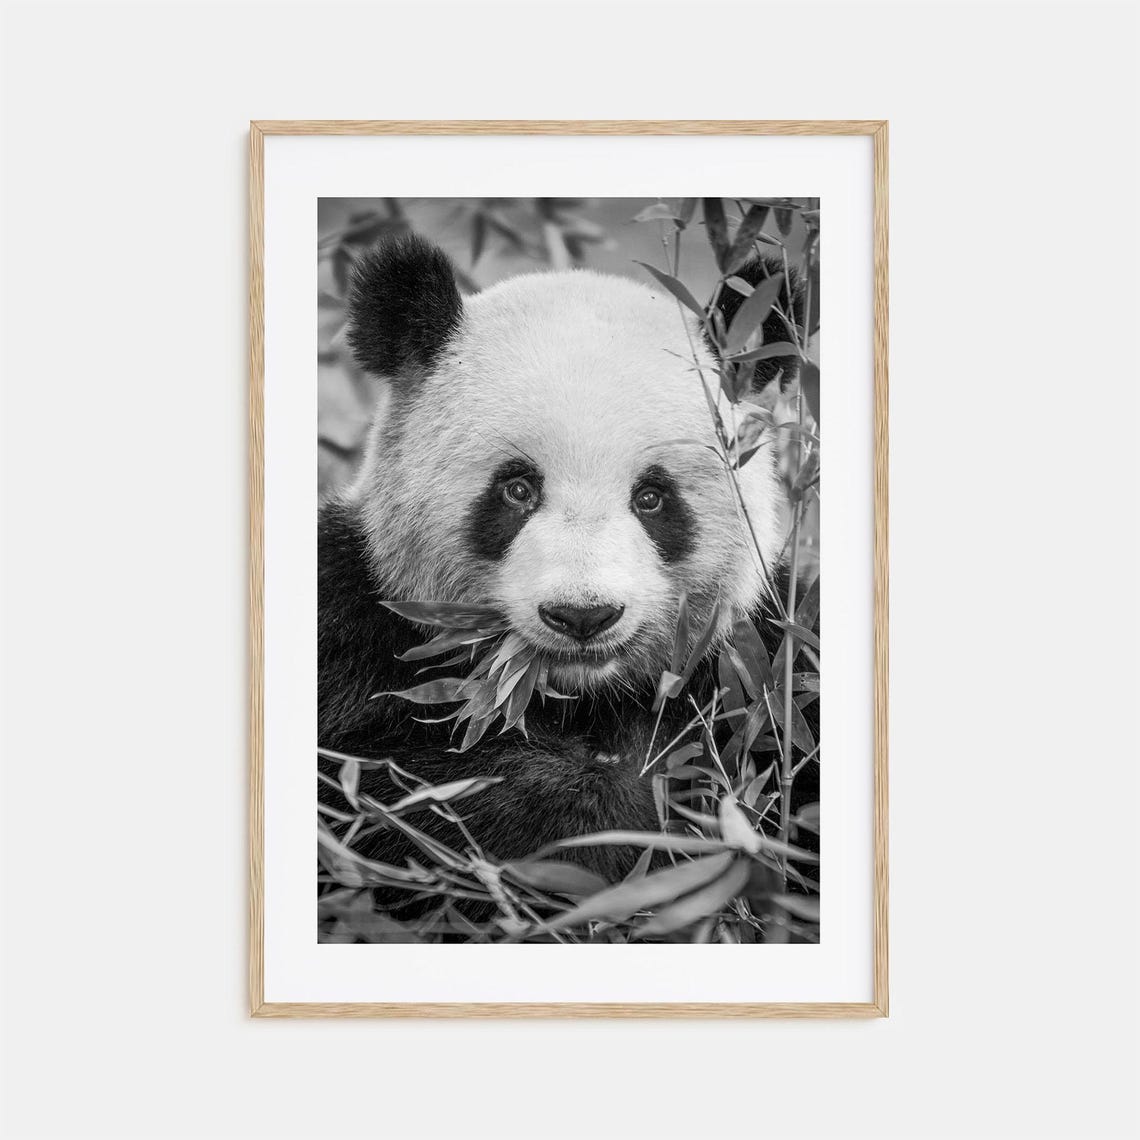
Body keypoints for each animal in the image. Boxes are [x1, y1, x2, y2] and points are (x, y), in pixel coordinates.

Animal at [319, 233, 812, 889]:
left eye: (651, 497)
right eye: (517, 489)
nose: (582, 616)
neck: (579, 699)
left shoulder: (765, 663)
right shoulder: (352, 630)